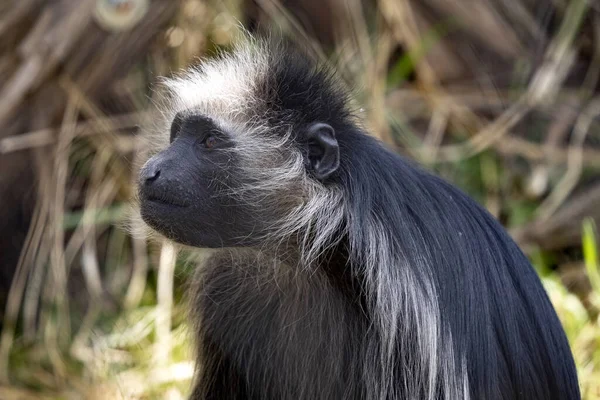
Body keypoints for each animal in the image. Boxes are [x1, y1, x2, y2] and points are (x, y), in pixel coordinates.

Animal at [135, 36, 576, 398]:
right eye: (177, 135)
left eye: (209, 142)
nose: (151, 170)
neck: (303, 253)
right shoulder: (226, 286)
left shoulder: (400, 308)